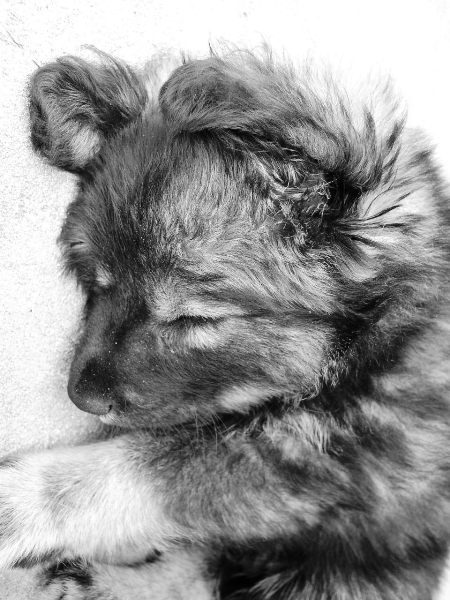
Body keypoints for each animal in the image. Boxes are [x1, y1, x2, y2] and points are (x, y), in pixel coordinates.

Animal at [1, 47, 449, 599]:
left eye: (194, 318)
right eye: (99, 283)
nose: (81, 397)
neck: (382, 344)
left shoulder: (327, 455)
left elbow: (139, 469)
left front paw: (16, 503)